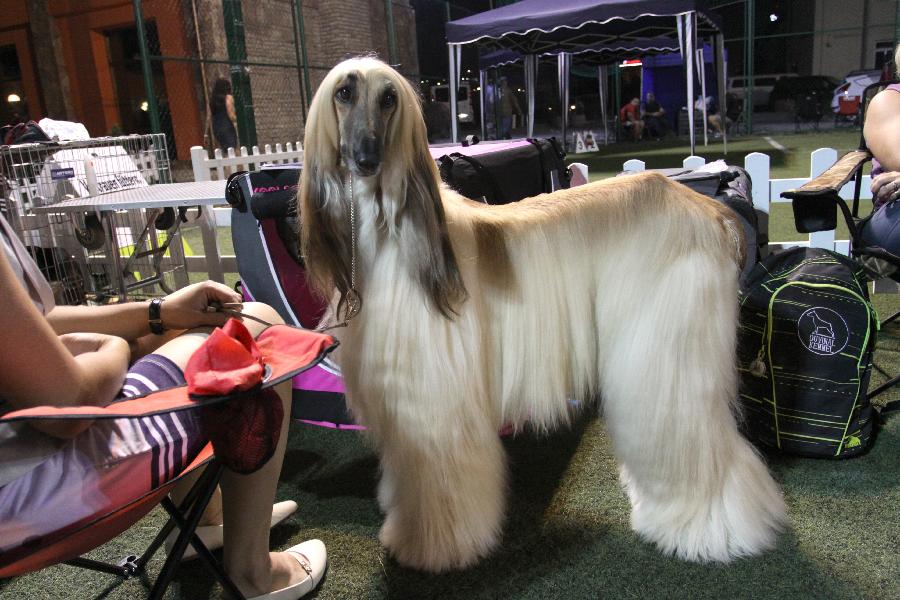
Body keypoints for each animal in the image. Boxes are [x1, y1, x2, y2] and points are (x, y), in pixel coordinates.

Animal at [298, 57, 784, 572]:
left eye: (389, 98)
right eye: (344, 93)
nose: (366, 158)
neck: (392, 232)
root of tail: (711, 210)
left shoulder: (433, 408)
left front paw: (432, 547)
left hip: (667, 347)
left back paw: (709, 529)